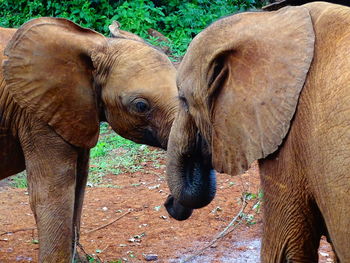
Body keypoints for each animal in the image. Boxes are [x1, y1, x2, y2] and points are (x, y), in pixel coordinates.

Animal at [0, 17, 178, 262]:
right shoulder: (36, 114)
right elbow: (51, 194)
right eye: (141, 106)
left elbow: (79, 182)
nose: (170, 202)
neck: (96, 44)